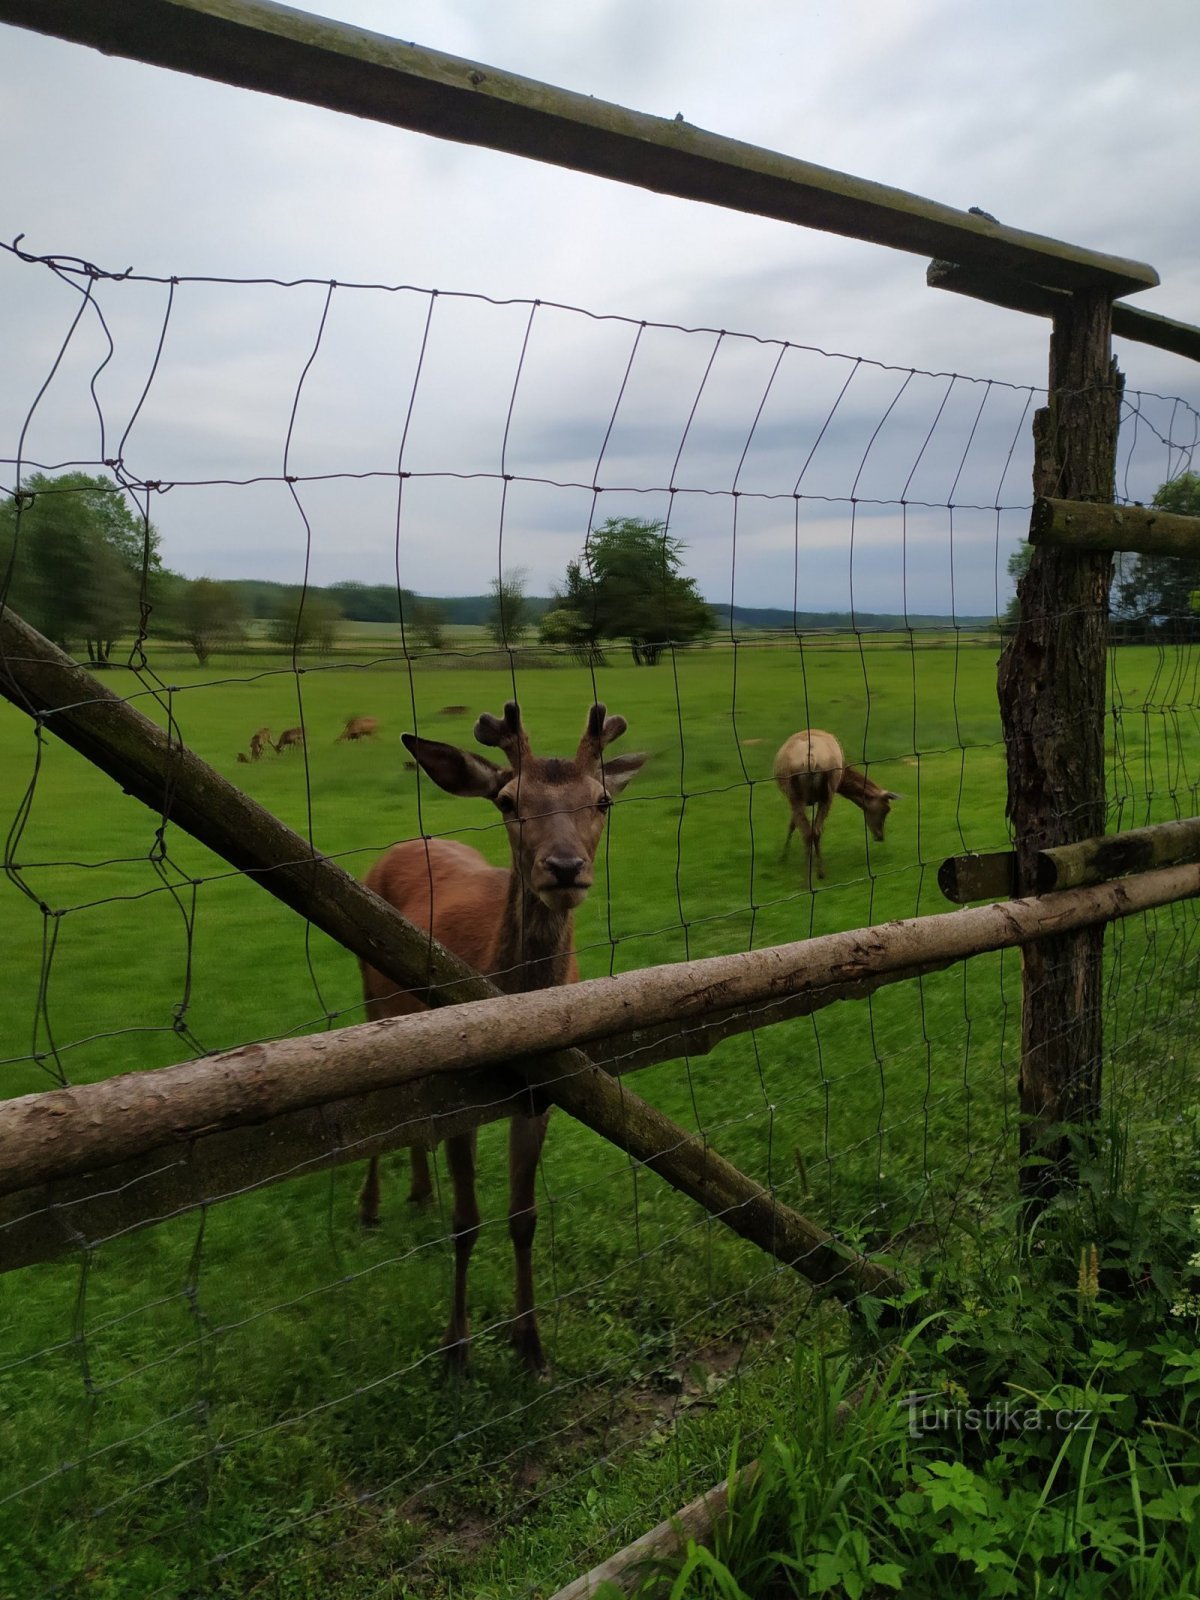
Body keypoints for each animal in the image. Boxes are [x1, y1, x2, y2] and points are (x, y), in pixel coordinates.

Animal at [360, 700, 649, 1376]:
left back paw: (420, 1191)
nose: (565, 867)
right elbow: (468, 1222)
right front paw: (455, 1350)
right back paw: (371, 1205)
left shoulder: (548, 1092)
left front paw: (531, 1345)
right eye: (508, 800)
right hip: (369, 994)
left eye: (603, 799)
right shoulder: (460, 1088)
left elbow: (524, 1217)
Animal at [774, 732, 896, 896]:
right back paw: (816, 874)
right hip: (820, 792)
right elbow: (794, 824)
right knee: (814, 830)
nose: (880, 836)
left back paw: (812, 878)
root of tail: (811, 759)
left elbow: (792, 825)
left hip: (802, 792)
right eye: (885, 809)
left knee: (810, 831)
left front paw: (783, 858)